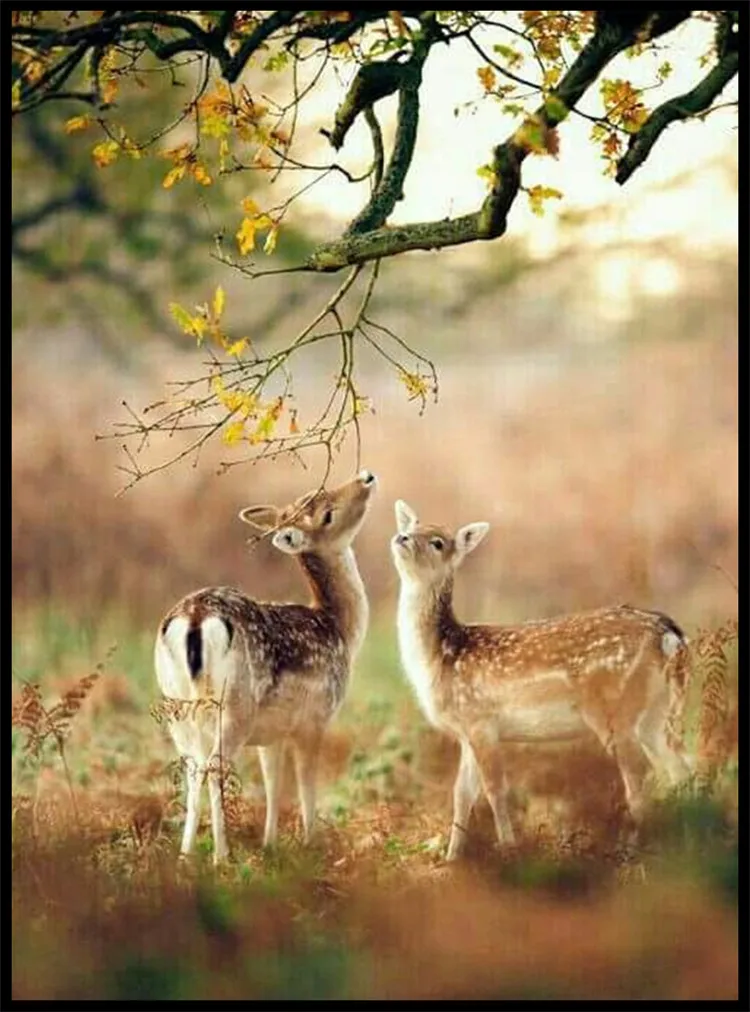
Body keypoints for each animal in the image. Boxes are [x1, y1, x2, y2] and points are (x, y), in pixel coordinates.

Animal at [154, 469, 377, 864]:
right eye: (327, 514)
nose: (365, 476)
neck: (339, 628)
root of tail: (194, 619)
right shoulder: (315, 718)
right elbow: (305, 782)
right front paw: (310, 844)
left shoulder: (271, 733)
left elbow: (272, 782)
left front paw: (270, 845)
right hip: (235, 705)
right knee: (214, 766)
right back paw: (221, 856)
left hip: (176, 706)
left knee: (193, 767)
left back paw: (185, 856)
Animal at [391, 499, 694, 861]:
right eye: (412, 525)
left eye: (437, 542)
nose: (402, 537)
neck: (442, 655)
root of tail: (669, 635)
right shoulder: (465, 731)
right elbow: (461, 794)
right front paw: (451, 859)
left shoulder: (480, 720)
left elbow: (495, 789)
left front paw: (509, 849)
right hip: (656, 712)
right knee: (680, 764)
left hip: (614, 708)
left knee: (641, 773)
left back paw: (630, 849)